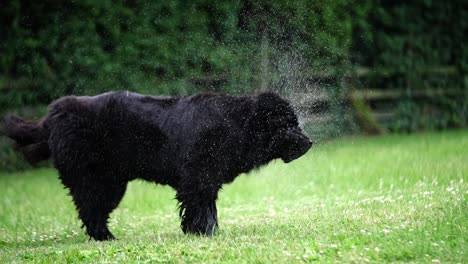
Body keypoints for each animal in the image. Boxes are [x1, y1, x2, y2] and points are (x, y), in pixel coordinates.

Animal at [1, 92, 314, 240]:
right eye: (288, 125)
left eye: (295, 122)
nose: (309, 142)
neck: (237, 124)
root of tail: (54, 114)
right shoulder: (198, 179)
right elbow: (203, 208)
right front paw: (205, 232)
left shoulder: (204, 181)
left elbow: (205, 208)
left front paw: (199, 231)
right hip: (99, 180)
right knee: (91, 210)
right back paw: (107, 238)